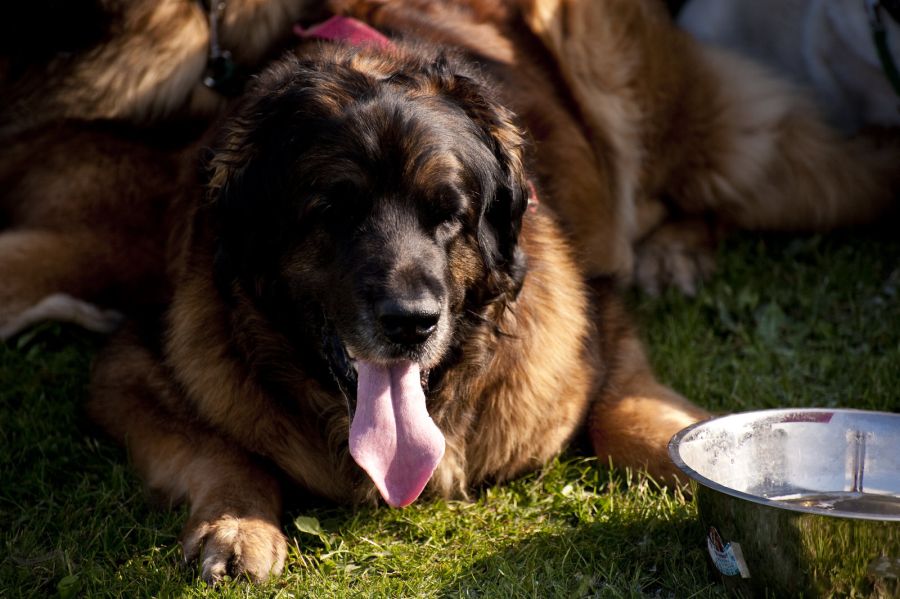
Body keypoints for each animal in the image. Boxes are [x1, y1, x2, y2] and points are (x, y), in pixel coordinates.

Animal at [1, 0, 900, 584]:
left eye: (448, 215)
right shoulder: (129, 367)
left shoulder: (597, 330)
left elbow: (635, 419)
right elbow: (217, 449)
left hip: (732, 149)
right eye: (333, 211)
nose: (410, 320)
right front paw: (236, 524)